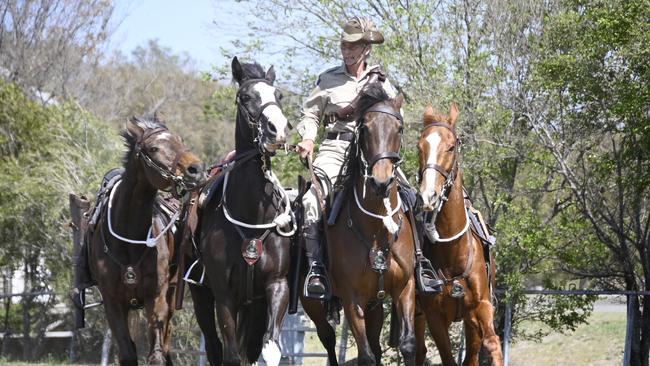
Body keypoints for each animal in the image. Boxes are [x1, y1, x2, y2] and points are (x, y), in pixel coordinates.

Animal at [88, 116, 205, 364]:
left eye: (180, 140)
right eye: (153, 148)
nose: (196, 170)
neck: (128, 241)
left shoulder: (157, 297)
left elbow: (157, 353)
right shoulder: (113, 303)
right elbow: (127, 352)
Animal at [308, 84, 416, 364]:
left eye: (399, 128)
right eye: (365, 128)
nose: (381, 181)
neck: (377, 229)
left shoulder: (404, 288)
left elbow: (408, 345)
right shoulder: (352, 299)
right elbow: (365, 354)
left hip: (374, 305)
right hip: (312, 303)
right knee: (328, 338)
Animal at [412, 103, 504, 366]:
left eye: (451, 146)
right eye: (419, 147)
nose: (429, 196)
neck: (454, 252)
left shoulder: (481, 307)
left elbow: (492, 344)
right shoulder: (434, 315)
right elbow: (446, 357)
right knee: (419, 350)